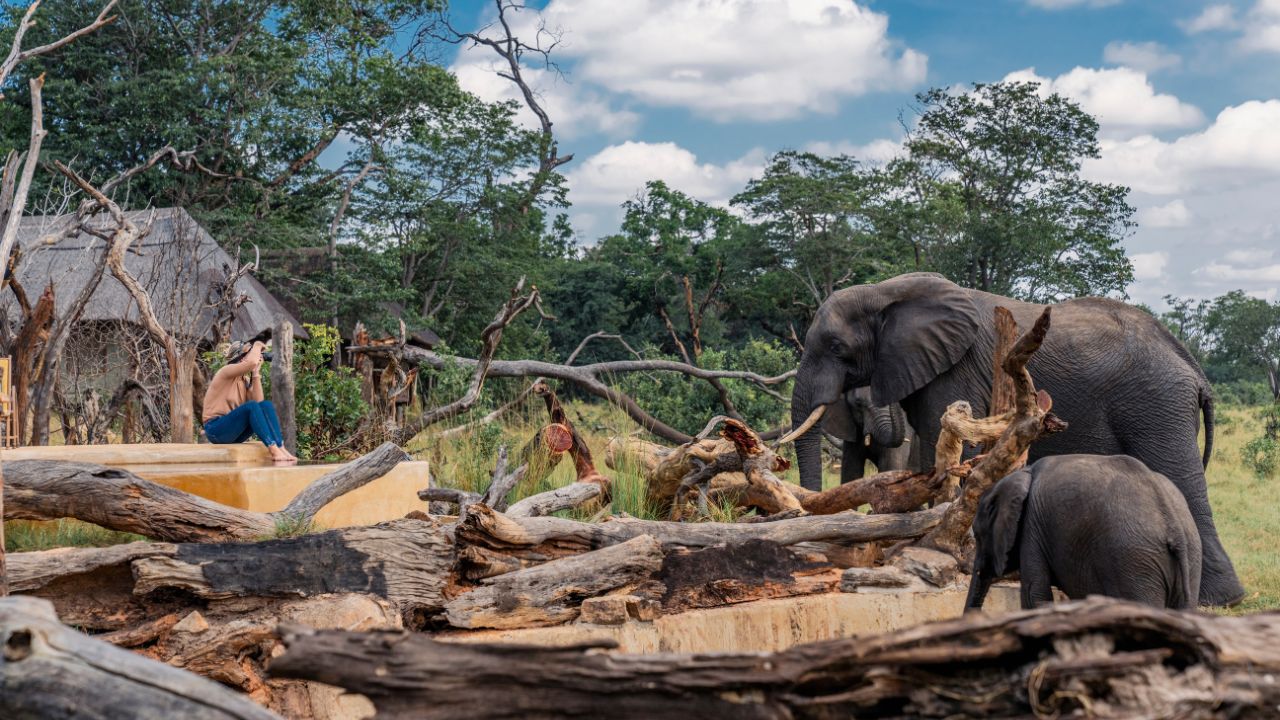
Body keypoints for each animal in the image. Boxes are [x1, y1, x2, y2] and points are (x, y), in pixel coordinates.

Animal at [964, 454, 1202, 610]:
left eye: (978, 535)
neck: (1023, 473)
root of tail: (1172, 524)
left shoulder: (1032, 526)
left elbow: (1035, 594)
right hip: (1189, 558)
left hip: (1135, 559)